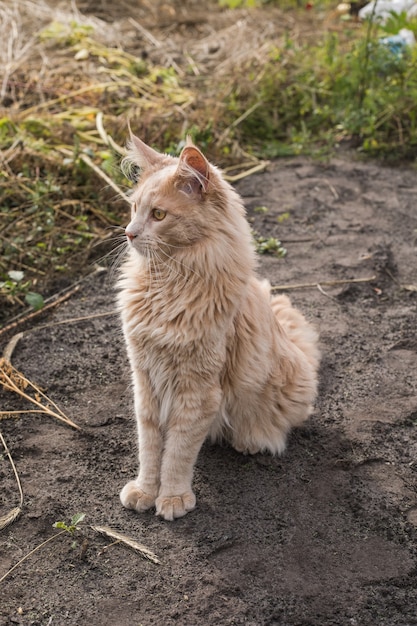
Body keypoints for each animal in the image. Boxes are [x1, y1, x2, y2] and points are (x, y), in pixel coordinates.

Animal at [115, 134, 316, 520]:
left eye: (158, 214)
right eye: (133, 209)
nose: (129, 234)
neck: (168, 285)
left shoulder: (198, 388)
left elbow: (178, 451)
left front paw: (172, 497)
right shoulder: (144, 379)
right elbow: (150, 446)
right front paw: (145, 490)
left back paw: (251, 441)